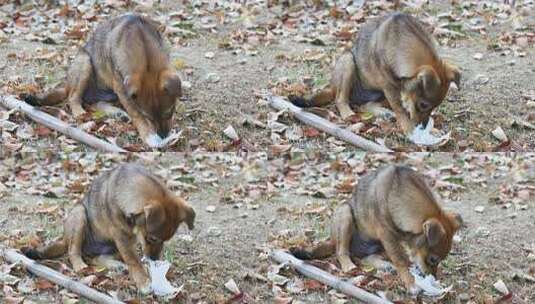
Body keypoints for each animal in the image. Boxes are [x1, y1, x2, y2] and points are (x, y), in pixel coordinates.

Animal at [22, 164, 197, 292]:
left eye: (166, 240)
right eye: (152, 238)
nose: (154, 260)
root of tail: (63, 239)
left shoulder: (127, 240)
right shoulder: (121, 238)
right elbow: (133, 260)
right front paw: (143, 282)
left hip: (112, 244)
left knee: (95, 258)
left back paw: (115, 265)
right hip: (79, 215)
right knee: (74, 251)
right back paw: (80, 266)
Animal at [23, 13, 182, 147]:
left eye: (170, 112)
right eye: (148, 117)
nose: (163, 136)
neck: (144, 51)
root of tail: (67, 83)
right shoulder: (121, 87)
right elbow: (136, 114)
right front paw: (149, 136)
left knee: (94, 103)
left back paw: (115, 112)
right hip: (85, 63)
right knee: (74, 97)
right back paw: (80, 113)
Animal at [292, 13, 462, 134]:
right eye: (423, 105)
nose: (422, 128)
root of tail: (332, 87)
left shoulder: (397, 90)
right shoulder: (390, 88)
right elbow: (401, 111)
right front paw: (409, 130)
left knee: (364, 105)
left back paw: (382, 112)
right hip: (348, 62)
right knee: (340, 99)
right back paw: (348, 114)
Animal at [292, 166, 462, 294]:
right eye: (433, 259)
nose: (433, 278)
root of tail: (331, 241)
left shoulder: (393, 240)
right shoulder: (387, 235)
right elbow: (401, 260)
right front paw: (411, 284)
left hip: (378, 243)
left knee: (365, 258)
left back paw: (384, 264)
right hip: (345, 214)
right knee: (342, 251)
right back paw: (348, 265)